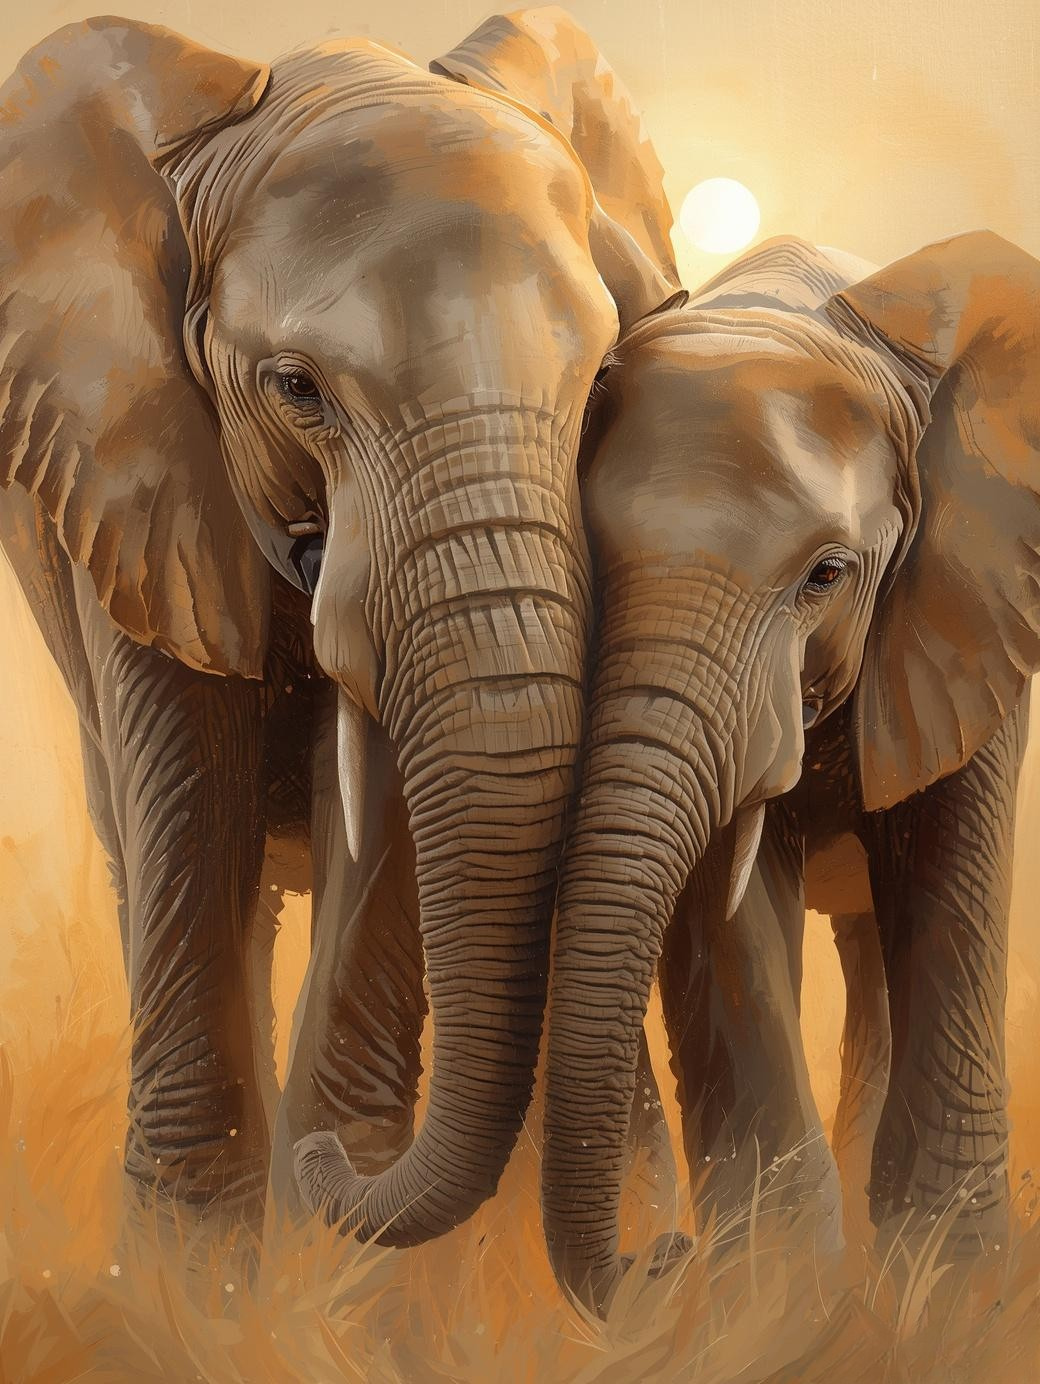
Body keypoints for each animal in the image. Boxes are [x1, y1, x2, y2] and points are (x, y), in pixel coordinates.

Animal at [0, 8, 681, 1244]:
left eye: (604, 379)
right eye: (296, 388)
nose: (669, 1255)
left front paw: (337, 1223)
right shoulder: (129, 469)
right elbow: (192, 798)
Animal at [537, 228, 1040, 1312]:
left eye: (826, 576)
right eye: (588, 556)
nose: (657, 1256)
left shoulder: (971, 601)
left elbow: (946, 877)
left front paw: (947, 1289)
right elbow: (725, 906)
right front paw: (766, 1296)